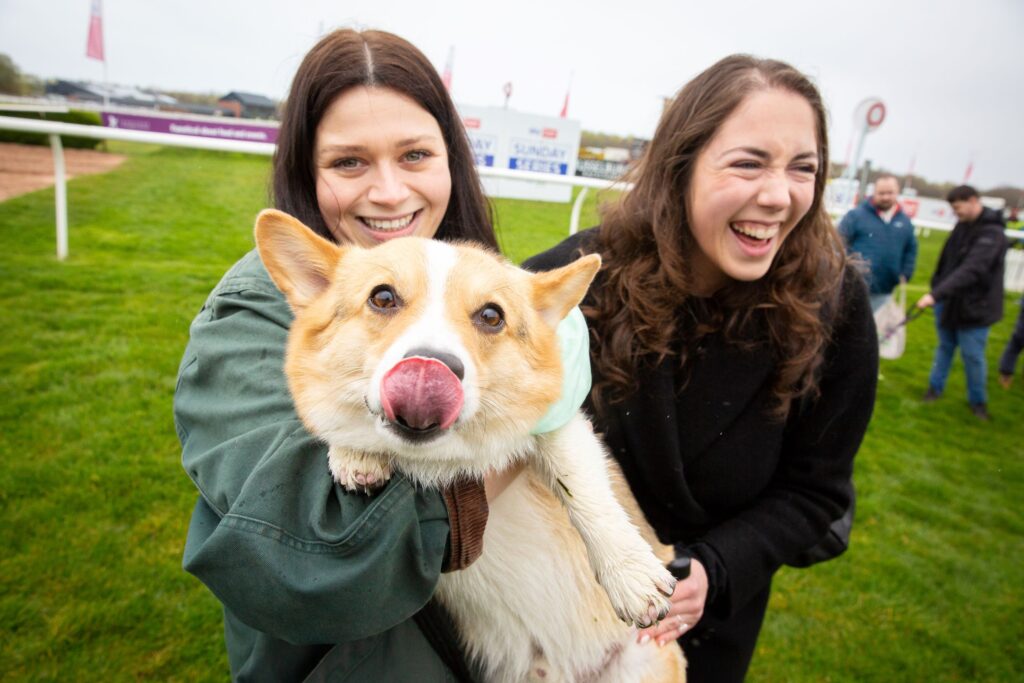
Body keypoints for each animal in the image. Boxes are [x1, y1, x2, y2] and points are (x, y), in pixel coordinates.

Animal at [256, 209, 688, 683]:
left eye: (491, 316)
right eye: (383, 297)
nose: (429, 370)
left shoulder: (558, 420)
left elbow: (581, 487)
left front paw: (630, 575)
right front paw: (357, 451)